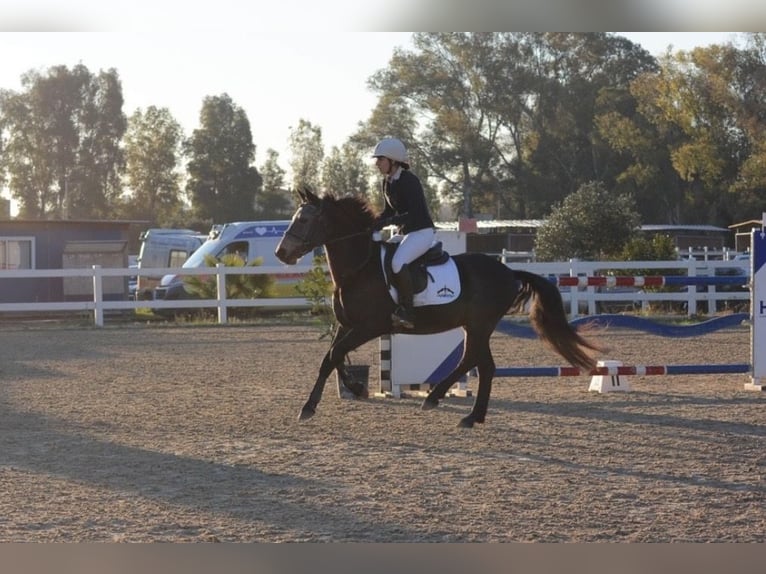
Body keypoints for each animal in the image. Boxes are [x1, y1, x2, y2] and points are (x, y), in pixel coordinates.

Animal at [275, 189, 600, 428]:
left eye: (304, 221)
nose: (281, 253)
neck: (359, 268)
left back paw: (437, 399)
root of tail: (508, 272)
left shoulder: (370, 327)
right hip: (474, 326)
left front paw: (322, 402)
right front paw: (346, 392)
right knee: (482, 364)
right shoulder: (346, 325)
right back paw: (471, 415)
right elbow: (331, 358)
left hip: (480, 325)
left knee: (474, 362)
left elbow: (335, 355)